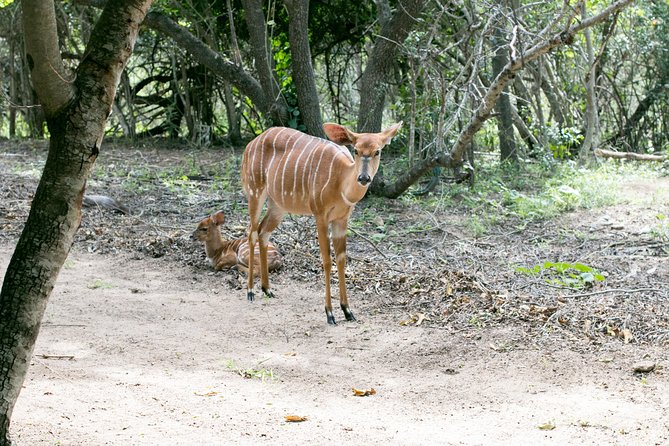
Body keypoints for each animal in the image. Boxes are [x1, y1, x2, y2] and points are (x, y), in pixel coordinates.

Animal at [239, 122, 400, 324]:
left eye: (377, 151)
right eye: (356, 149)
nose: (363, 178)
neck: (341, 182)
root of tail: (251, 144)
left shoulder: (342, 219)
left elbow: (341, 259)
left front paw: (347, 311)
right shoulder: (320, 214)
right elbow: (326, 260)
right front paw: (329, 313)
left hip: (278, 205)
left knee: (263, 232)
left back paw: (267, 289)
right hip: (255, 191)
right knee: (251, 232)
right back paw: (250, 291)